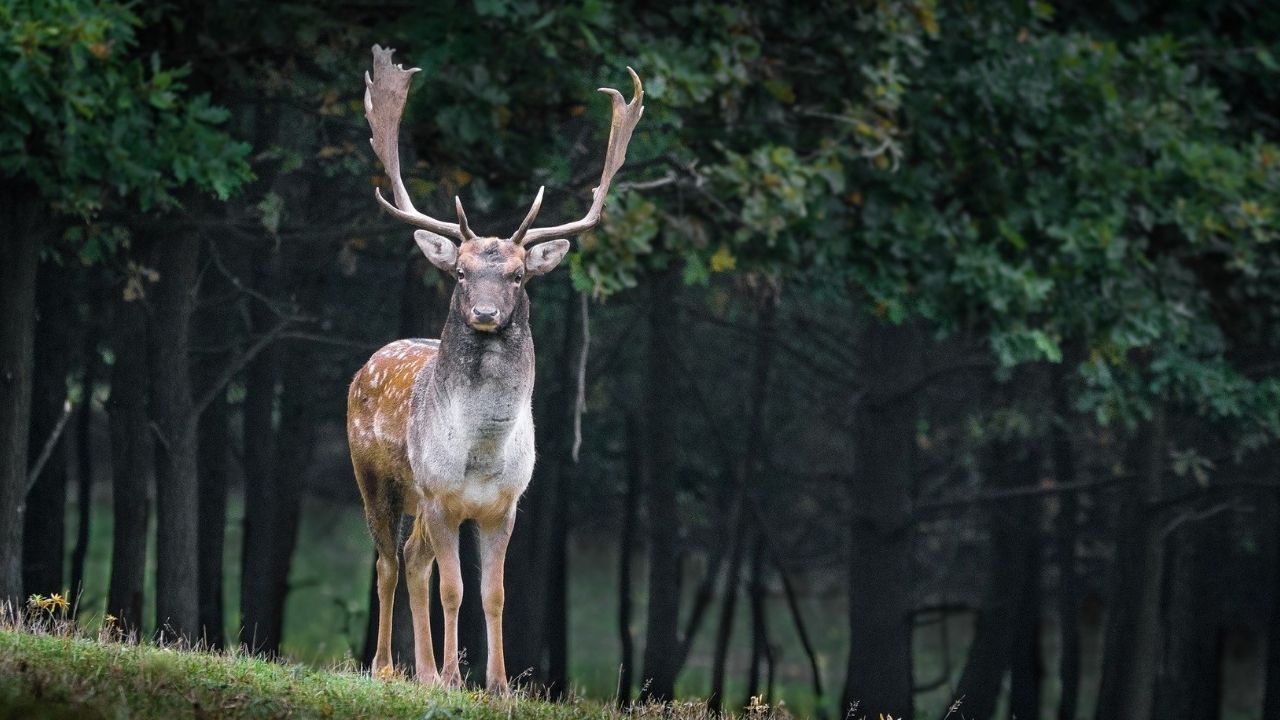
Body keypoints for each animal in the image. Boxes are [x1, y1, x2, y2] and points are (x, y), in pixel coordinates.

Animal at [347, 45, 643, 692]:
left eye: (518, 275)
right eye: (460, 271)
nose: (484, 313)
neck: (481, 454)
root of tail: (368, 364)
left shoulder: (505, 505)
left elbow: (494, 593)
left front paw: (498, 684)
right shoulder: (440, 496)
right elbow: (454, 589)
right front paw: (455, 678)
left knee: (412, 561)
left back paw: (422, 671)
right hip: (375, 477)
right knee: (387, 561)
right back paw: (387, 667)